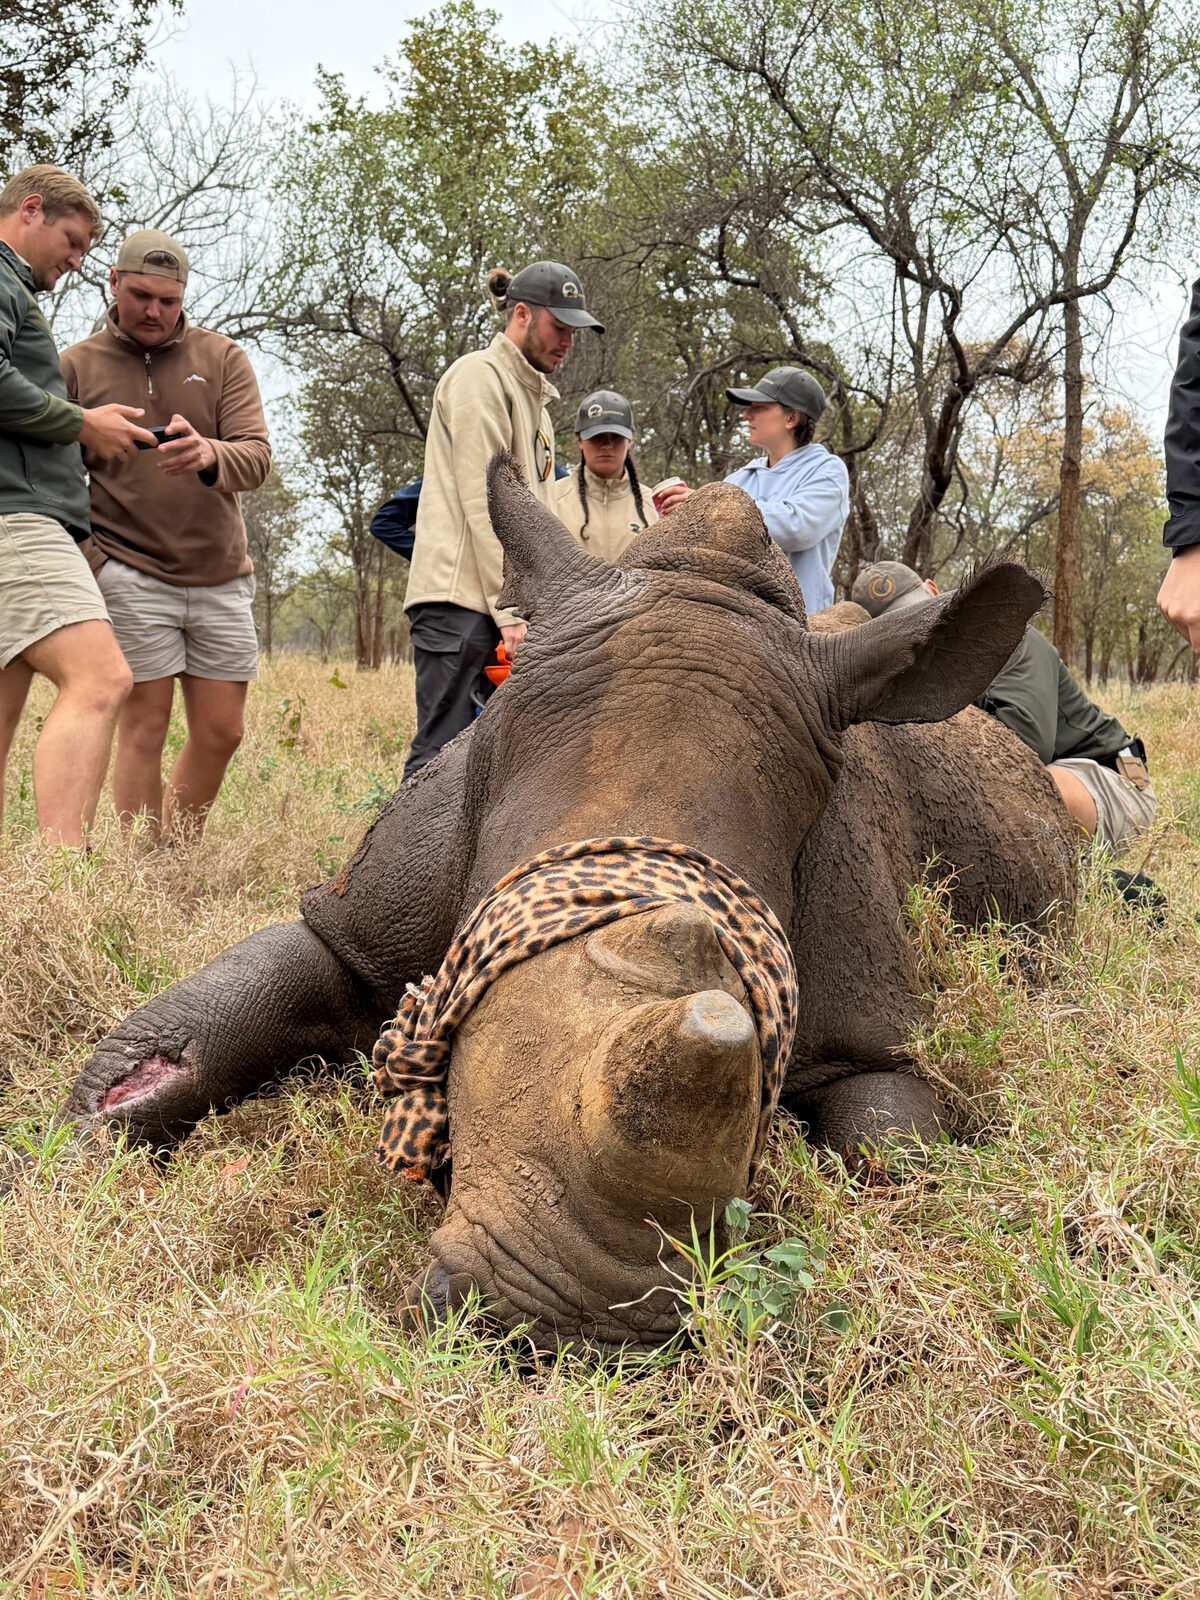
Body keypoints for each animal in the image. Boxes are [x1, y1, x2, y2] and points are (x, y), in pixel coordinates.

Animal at [53, 459, 1076, 1351]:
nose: (570, 1328)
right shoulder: (360, 922)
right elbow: (194, 1031)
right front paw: (64, 1167)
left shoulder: (874, 1031)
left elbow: (891, 1154)